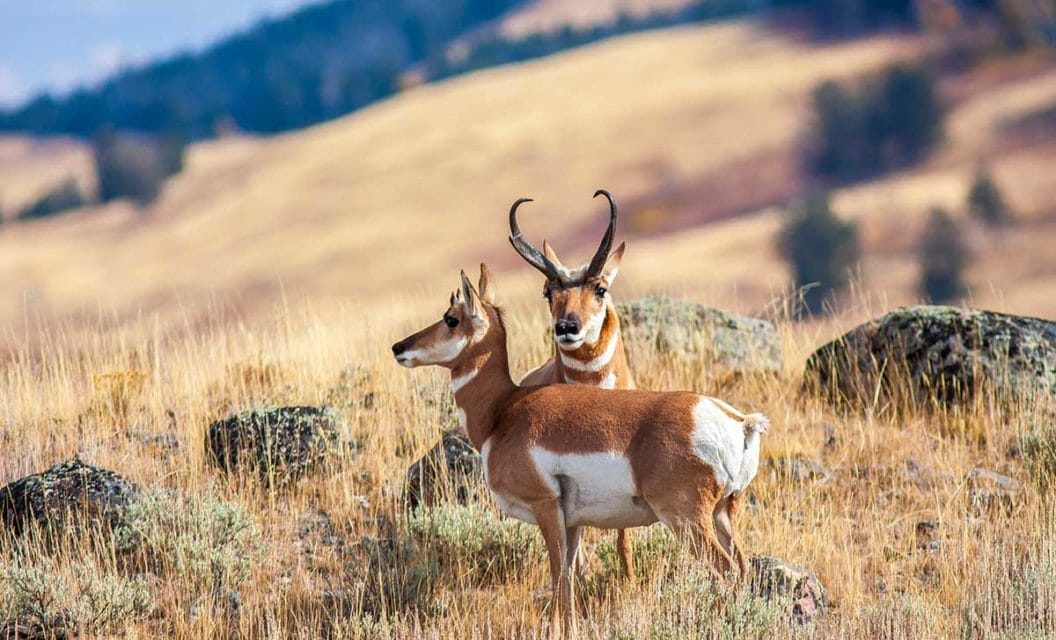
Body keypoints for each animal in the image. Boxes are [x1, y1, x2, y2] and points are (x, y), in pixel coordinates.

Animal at [394, 265, 768, 633]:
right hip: (723, 513)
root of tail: (737, 420)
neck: (503, 411)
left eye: (451, 318)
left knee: (725, 570)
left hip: (685, 519)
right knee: (743, 567)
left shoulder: (546, 508)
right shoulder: (572, 523)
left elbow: (558, 576)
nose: (399, 347)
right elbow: (571, 577)